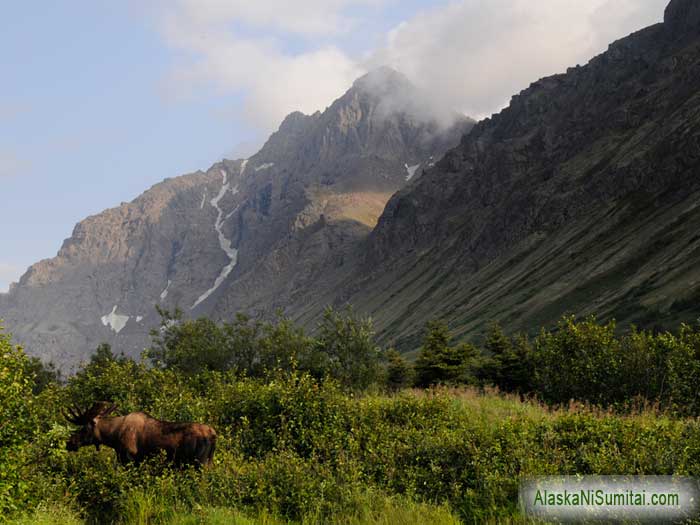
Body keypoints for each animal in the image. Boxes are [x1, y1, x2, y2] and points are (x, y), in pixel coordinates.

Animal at [63, 402, 216, 466]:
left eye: (84, 428)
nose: (69, 443)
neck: (113, 436)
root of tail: (213, 435)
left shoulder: (129, 457)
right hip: (208, 462)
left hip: (199, 462)